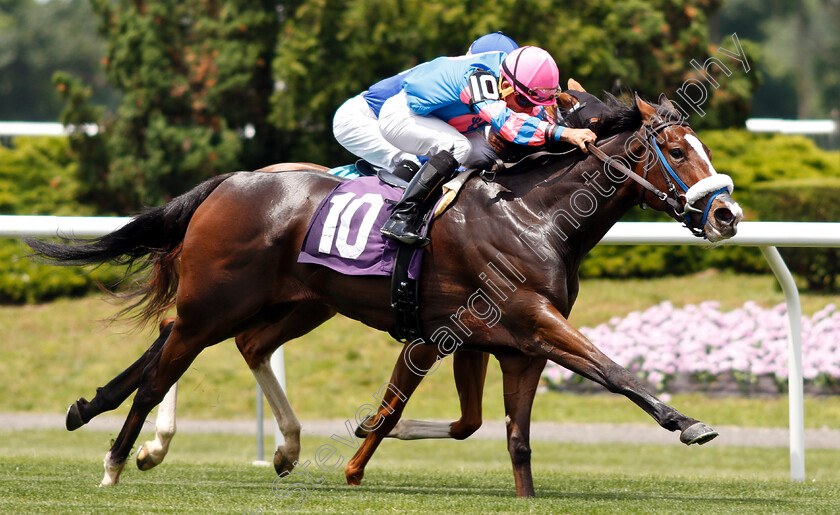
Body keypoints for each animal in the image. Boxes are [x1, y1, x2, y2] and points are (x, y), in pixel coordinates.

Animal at [29, 92, 740, 496]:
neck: (533, 215)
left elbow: (509, 439)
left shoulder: (507, 345)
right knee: (166, 364)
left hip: (293, 303)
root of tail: (231, 181)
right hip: (217, 300)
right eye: (678, 150)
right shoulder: (528, 321)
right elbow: (611, 369)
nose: (728, 215)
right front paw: (688, 423)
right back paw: (120, 458)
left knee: (225, 345)